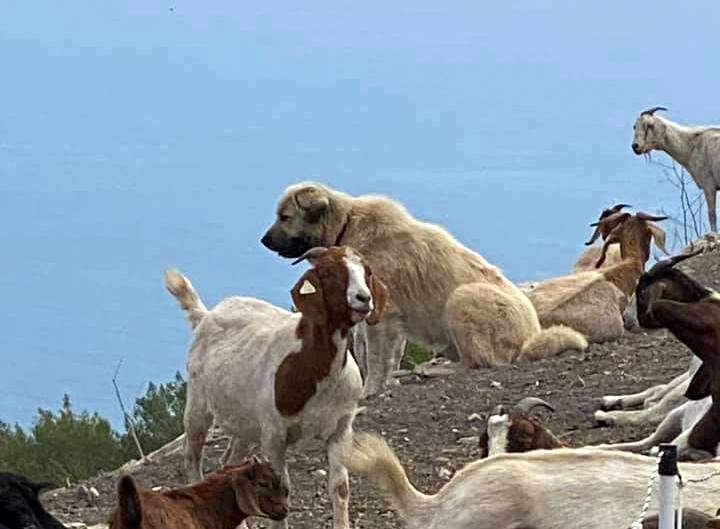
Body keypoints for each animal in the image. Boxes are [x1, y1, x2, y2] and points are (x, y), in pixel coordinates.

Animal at [165, 245, 387, 529]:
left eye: (367, 270)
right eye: (327, 273)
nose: (363, 298)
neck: (313, 367)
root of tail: (205, 316)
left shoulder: (341, 427)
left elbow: (340, 488)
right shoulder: (274, 435)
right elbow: (282, 487)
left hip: (246, 423)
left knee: (229, 461)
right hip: (198, 403)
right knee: (192, 457)